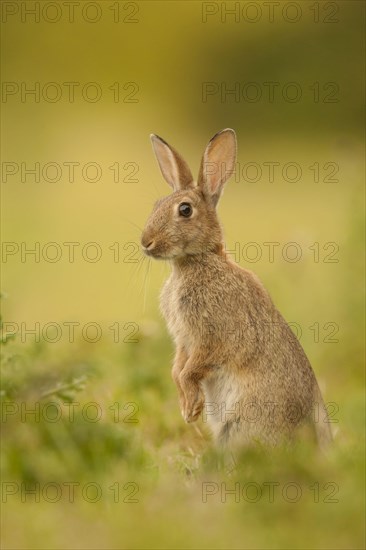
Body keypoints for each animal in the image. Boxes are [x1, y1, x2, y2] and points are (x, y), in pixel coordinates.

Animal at [141, 129, 332, 452]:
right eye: (156, 204)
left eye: (185, 210)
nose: (145, 242)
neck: (197, 261)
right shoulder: (183, 341)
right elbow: (177, 368)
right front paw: (187, 407)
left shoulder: (213, 336)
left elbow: (192, 369)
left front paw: (191, 407)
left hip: (243, 421)